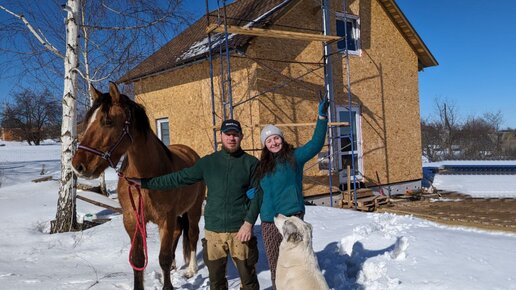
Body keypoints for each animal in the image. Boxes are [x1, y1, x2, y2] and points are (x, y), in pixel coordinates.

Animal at [72, 82, 206, 290]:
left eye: (108, 121)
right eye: (87, 122)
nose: (78, 165)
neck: (145, 179)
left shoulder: (166, 218)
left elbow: (163, 258)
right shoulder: (132, 220)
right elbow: (138, 260)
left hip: (193, 209)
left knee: (192, 234)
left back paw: (191, 269)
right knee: (178, 233)